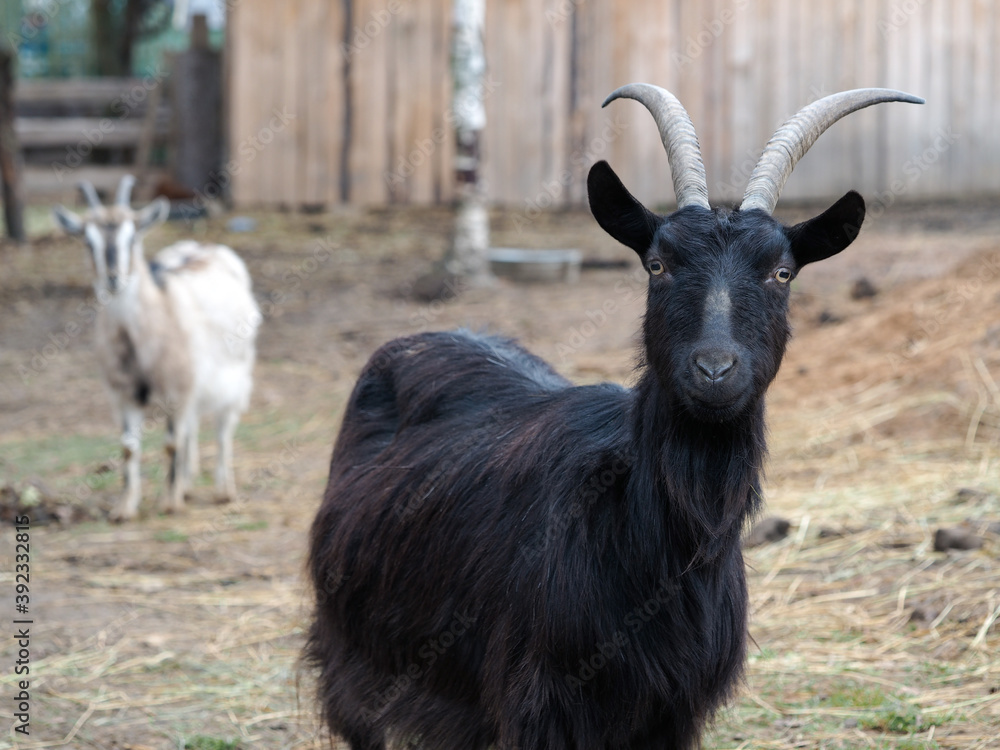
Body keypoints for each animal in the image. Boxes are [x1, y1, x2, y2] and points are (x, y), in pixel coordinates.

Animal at [52, 177, 260, 524]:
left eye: (133, 236)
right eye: (87, 242)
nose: (113, 279)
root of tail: (201, 247)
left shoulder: (177, 388)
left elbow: (170, 443)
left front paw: (169, 503)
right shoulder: (124, 394)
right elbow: (128, 447)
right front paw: (124, 508)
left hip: (235, 374)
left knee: (223, 429)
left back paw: (223, 489)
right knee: (192, 428)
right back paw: (187, 483)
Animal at [306, 85, 920, 748]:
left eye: (782, 272)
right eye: (657, 264)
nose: (714, 370)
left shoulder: (672, 710)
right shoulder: (535, 702)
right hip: (357, 660)